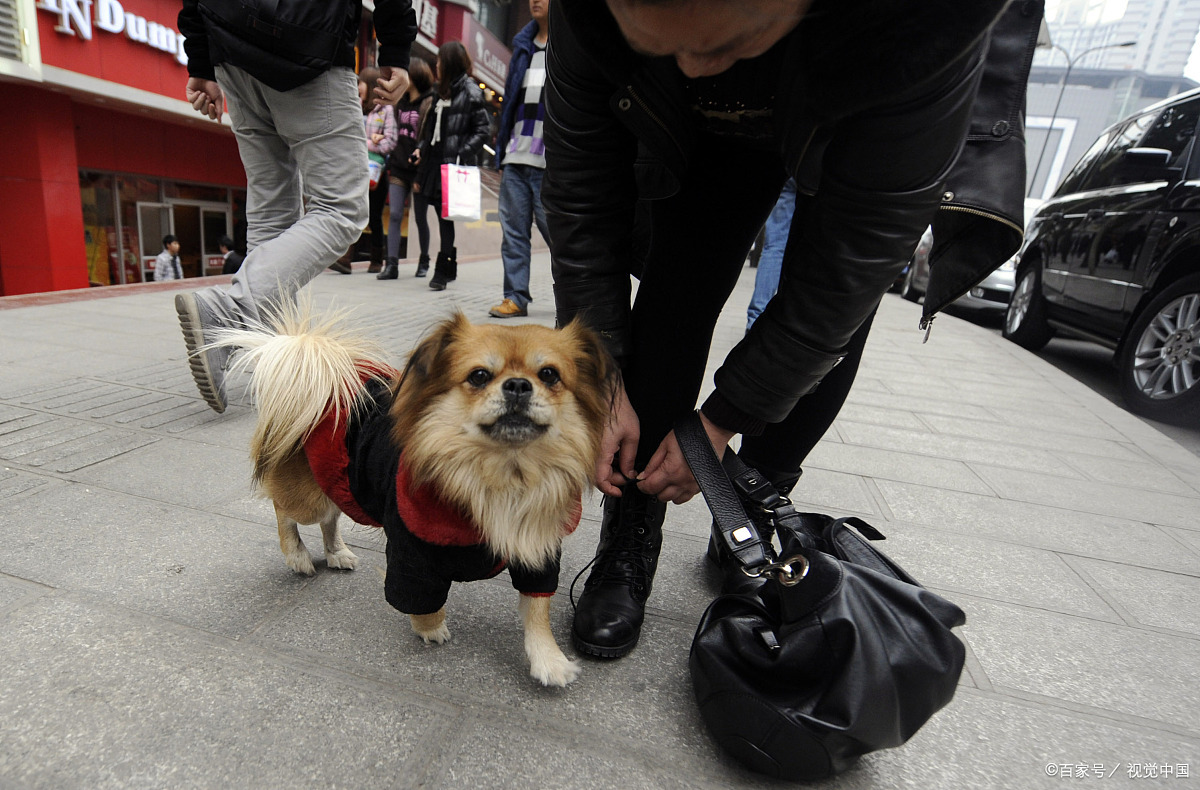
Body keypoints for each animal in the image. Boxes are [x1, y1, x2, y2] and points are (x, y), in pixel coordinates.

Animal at [210, 301, 614, 681]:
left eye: (549, 374)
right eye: (479, 376)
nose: (518, 385)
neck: (503, 474)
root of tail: (320, 381)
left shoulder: (538, 549)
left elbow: (537, 610)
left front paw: (550, 659)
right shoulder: (411, 551)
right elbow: (420, 599)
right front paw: (431, 628)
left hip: (341, 484)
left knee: (330, 519)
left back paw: (336, 552)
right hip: (308, 497)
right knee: (284, 510)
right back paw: (296, 555)